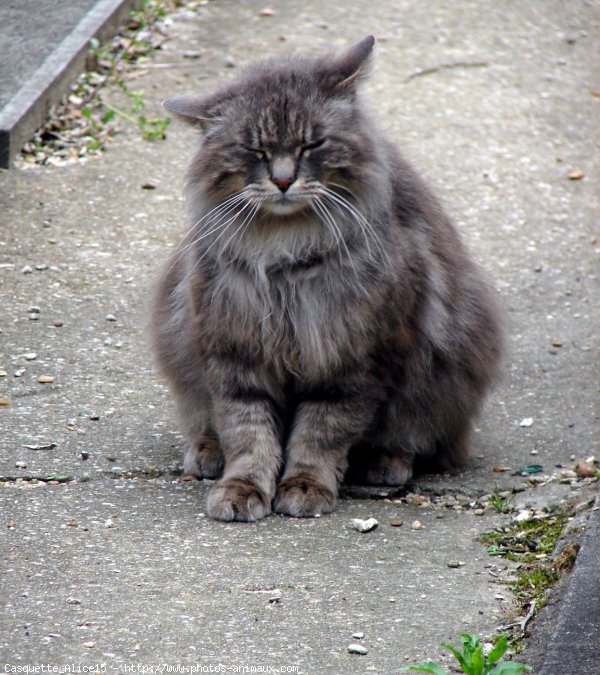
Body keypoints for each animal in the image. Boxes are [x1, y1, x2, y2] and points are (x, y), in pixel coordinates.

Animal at [152, 35, 504, 524]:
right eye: (255, 151)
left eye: (311, 144)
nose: (283, 180)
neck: (283, 254)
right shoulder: (236, 356)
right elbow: (248, 434)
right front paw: (242, 489)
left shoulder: (350, 360)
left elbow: (320, 434)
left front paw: (305, 487)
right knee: (207, 424)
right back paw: (207, 453)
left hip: (435, 386)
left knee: (416, 438)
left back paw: (384, 463)